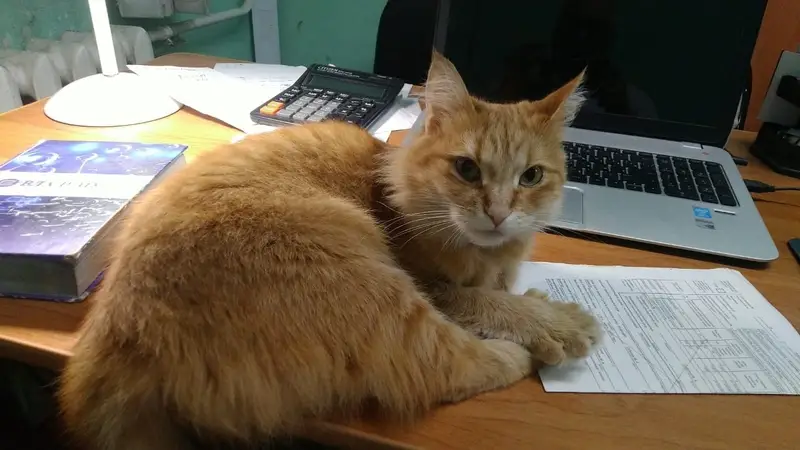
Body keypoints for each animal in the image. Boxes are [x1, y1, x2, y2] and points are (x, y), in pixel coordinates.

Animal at [58, 52, 600, 450]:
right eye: (466, 170)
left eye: (531, 177)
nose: (499, 213)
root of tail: (115, 335)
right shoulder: (429, 283)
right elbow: (486, 300)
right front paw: (551, 319)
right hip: (374, 288)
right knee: (450, 364)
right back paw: (523, 350)